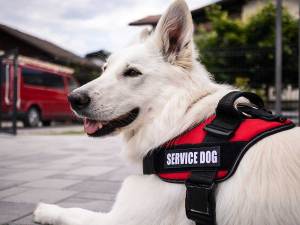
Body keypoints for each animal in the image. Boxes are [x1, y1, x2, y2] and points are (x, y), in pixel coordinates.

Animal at [34, 0, 300, 224]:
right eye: (104, 69)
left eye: (132, 72)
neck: (181, 117)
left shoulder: (121, 219)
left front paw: (46, 210)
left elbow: (75, 211)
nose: (73, 99)